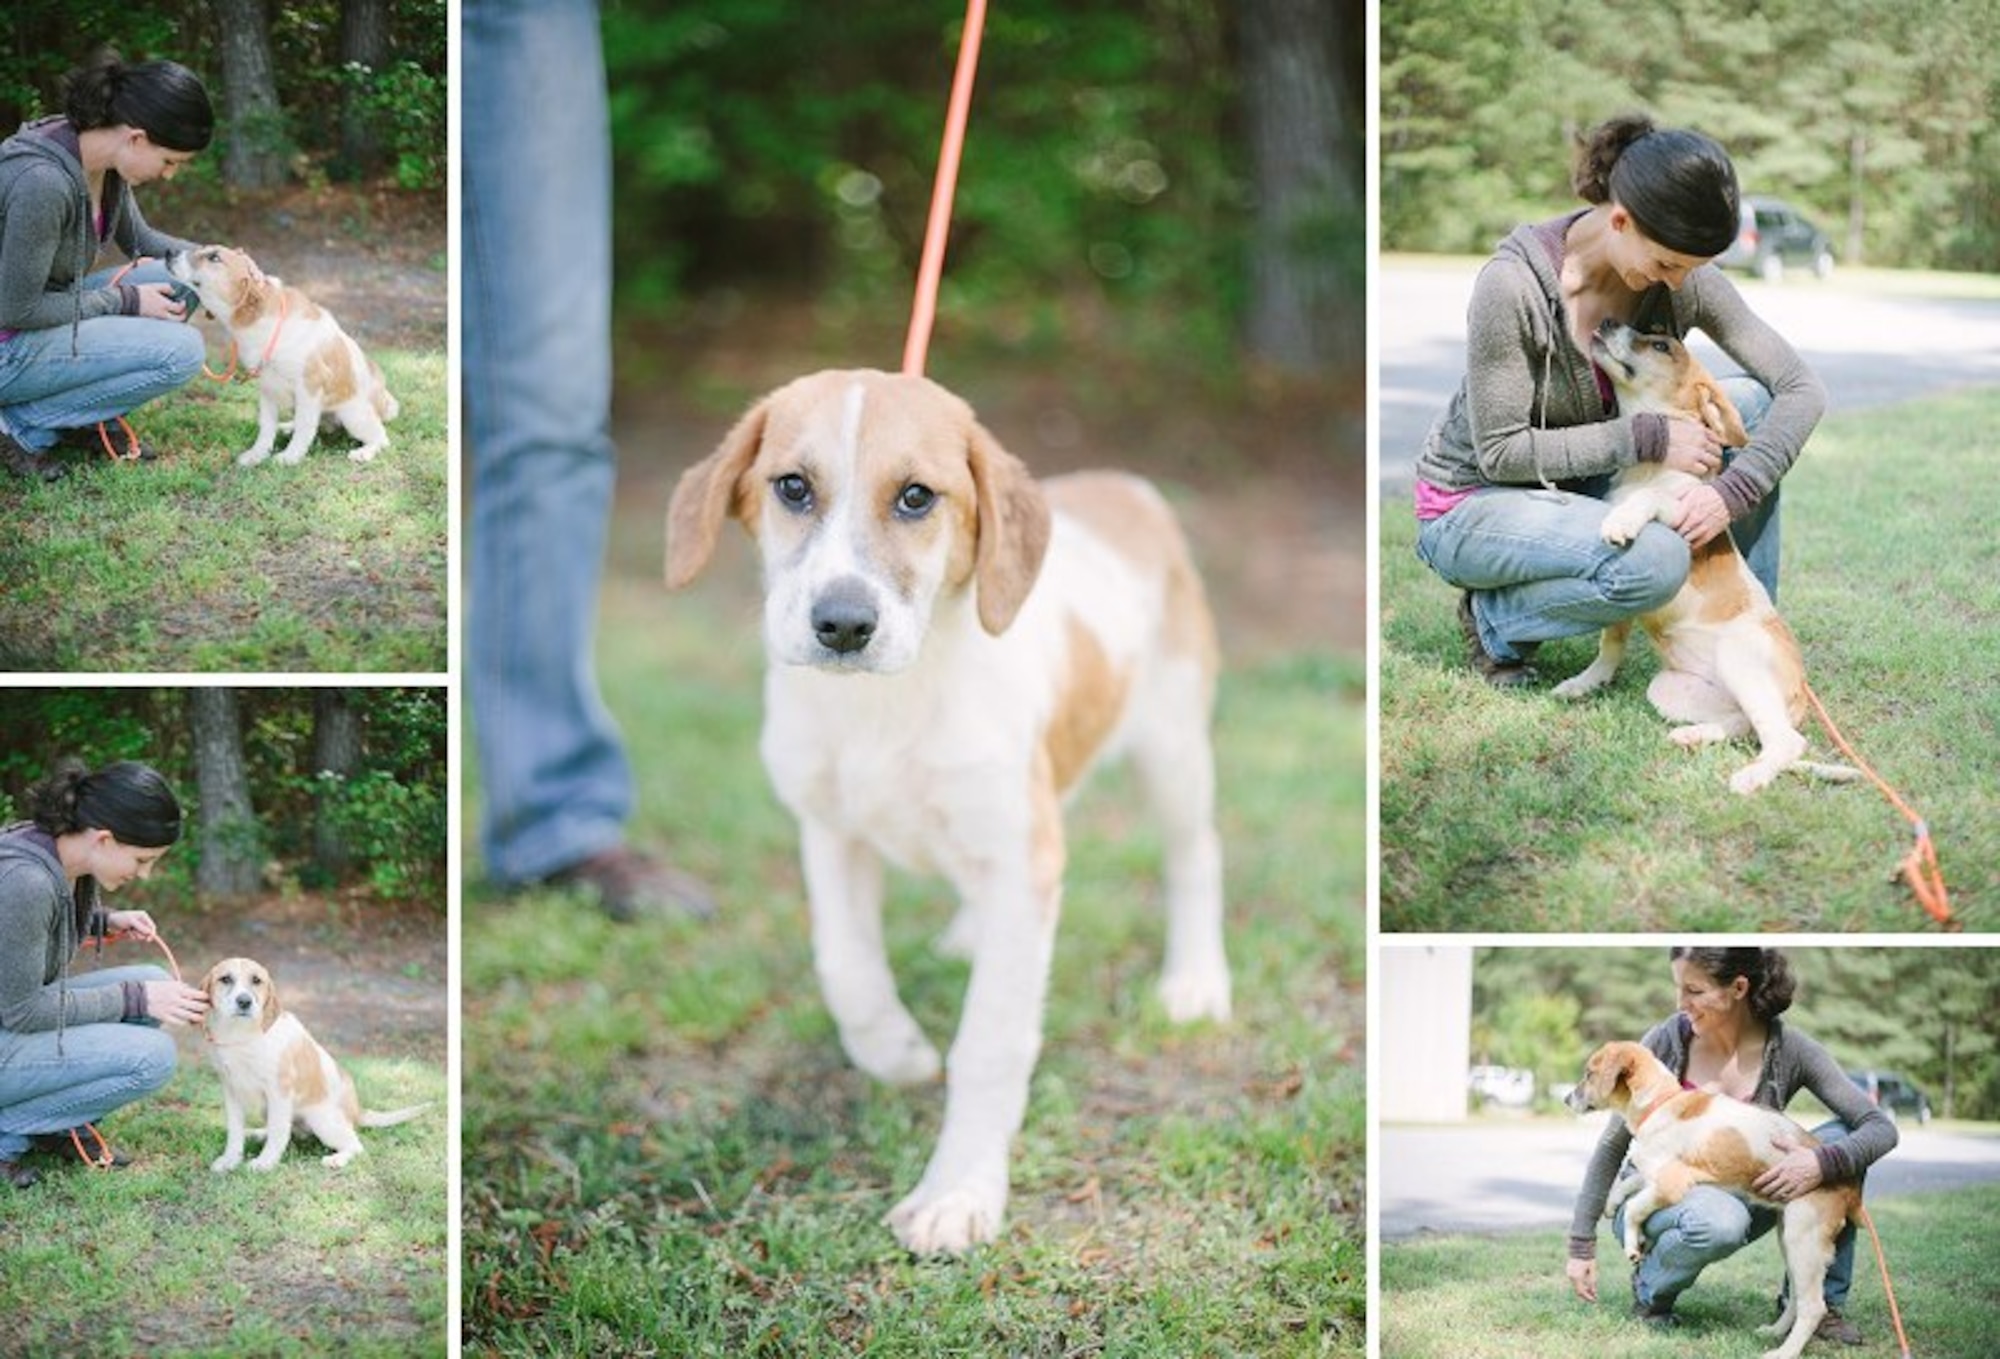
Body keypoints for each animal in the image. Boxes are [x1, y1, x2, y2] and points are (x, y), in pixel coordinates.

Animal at [168, 246, 402, 469]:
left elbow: (305, 428)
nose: (169, 252)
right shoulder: (267, 388)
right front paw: (257, 454)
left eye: (214, 257)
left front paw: (290, 457)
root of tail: (383, 397)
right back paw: (288, 427)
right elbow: (267, 427)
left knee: (381, 437)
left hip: (353, 415)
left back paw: (364, 452)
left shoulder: (309, 387)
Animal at [200, 955, 430, 1167]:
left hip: (321, 1120)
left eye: (256, 980)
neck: (242, 1035)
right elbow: (235, 1131)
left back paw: (337, 1159)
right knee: (288, 1131)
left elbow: (278, 1132)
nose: (245, 1002)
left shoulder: (279, 1092)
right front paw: (230, 1159)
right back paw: (256, 1134)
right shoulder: (231, 1090)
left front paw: (265, 1163)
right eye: (225, 979)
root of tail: (357, 1111)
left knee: (355, 1145)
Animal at [668, 369, 1232, 1255]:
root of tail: (1126, 488)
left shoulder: (1022, 854)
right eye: (792, 487)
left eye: (916, 497)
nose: (843, 624)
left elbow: (992, 1041)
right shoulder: (830, 831)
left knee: (1195, 854)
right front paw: (895, 1052)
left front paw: (959, 1191)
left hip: (1172, 747)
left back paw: (1196, 981)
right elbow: (846, 965)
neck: (885, 705)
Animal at [1544, 321, 1856, 795]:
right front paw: (1585, 683)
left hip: (1739, 656)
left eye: (1661, 345)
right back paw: (1695, 734)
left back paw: (1750, 777)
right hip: (1669, 690)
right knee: (1746, 724)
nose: (1609, 322)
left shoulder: (1686, 517)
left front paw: (1623, 519)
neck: (1648, 469)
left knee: (1787, 741)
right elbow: (1610, 642)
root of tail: (1801, 692)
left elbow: (1655, 499)